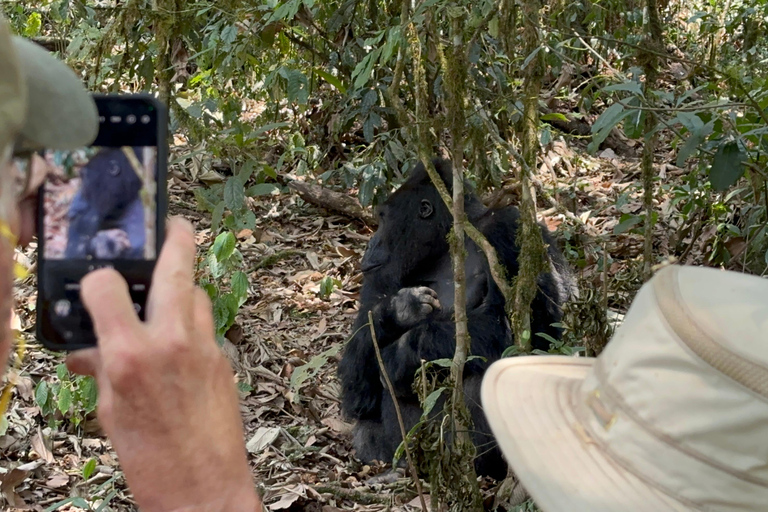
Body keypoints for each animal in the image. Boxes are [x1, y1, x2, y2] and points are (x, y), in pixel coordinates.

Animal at [340, 157, 572, 480]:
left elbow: (530, 329)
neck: (446, 247)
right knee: (366, 429)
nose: (370, 243)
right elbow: (357, 393)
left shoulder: (508, 226)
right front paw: (399, 310)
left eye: (384, 219)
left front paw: (401, 353)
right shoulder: (379, 276)